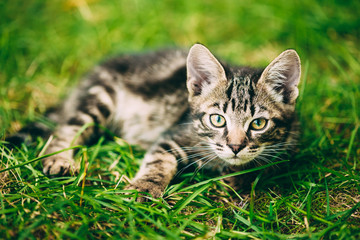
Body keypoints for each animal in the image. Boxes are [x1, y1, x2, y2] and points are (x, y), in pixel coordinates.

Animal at [7, 44, 300, 200]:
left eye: (258, 124)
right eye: (217, 119)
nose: (236, 147)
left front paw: (241, 184)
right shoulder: (174, 136)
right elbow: (159, 162)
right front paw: (144, 188)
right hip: (100, 98)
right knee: (69, 127)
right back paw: (59, 158)